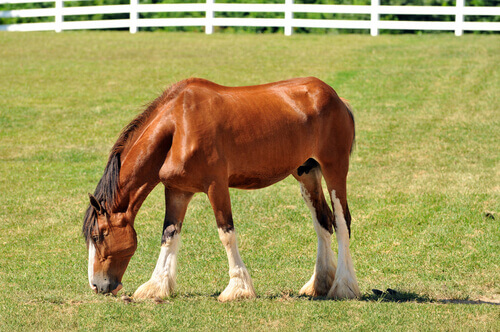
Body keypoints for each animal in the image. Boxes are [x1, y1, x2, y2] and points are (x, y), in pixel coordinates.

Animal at [84, 77, 362, 300]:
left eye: (98, 236)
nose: (96, 285)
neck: (178, 125)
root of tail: (337, 98)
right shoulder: (177, 190)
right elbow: (169, 235)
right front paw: (157, 285)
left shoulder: (216, 186)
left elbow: (226, 233)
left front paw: (238, 288)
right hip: (307, 172)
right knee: (323, 221)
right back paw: (319, 284)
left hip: (334, 169)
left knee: (341, 221)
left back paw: (344, 286)